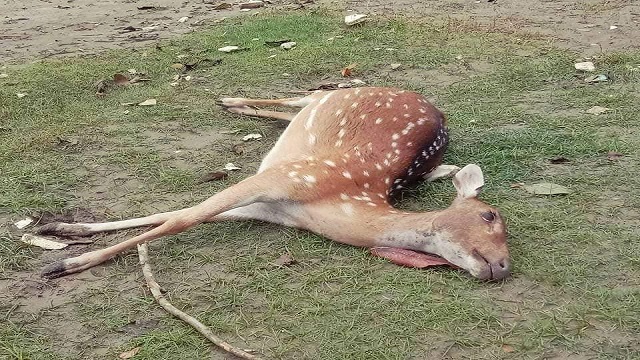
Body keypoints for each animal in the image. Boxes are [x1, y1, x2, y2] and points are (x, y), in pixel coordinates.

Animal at [38, 87, 510, 282]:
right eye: (490, 215)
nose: (503, 266)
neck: (331, 205)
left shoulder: (269, 207)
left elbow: (171, 214)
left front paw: (62, 230)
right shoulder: (277, 178)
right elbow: (179, 219)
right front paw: (65, 261)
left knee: (292, 108)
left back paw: (236, 104)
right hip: (336, 94)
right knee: (302, 94)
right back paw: (229, 98)